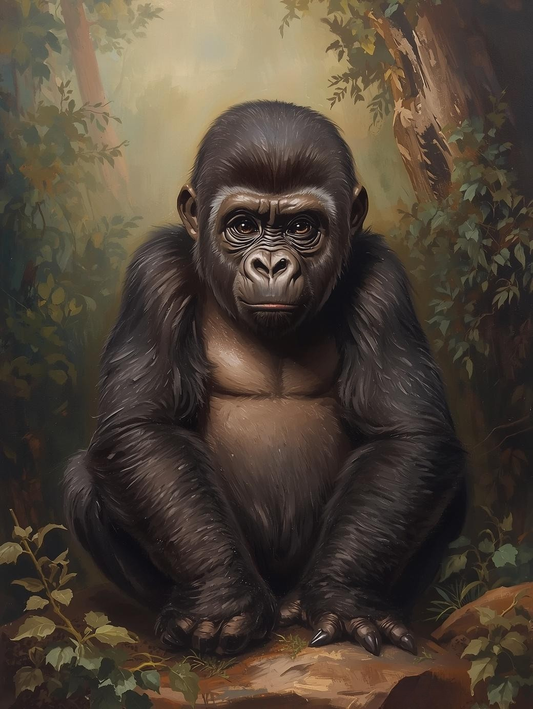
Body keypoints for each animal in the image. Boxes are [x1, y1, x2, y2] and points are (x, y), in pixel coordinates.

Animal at [65, 100, 466, 657]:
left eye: (301, 226)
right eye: (242, 224)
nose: (272, 263)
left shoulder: (382, 281)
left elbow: (409, 435)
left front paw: (344, 598)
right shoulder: (154, 276)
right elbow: (141, 429)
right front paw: (221, 601)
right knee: (83, 479)